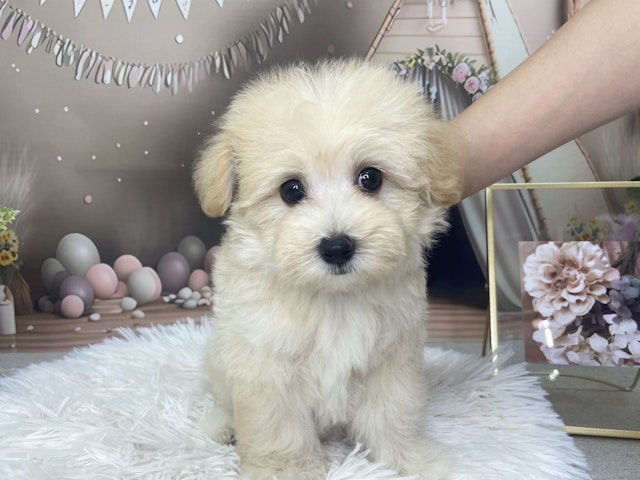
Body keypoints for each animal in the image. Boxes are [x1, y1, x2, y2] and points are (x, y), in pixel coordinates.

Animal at [192, 58, 462, 478]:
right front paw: (285, 470)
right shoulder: (266, 364)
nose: (337, 247)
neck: (333, 297)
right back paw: (222, 427)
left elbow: (392, 414)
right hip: (220, 360)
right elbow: (278, 428)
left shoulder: (391, 361)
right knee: (222, 400)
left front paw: (409, 458)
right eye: (291, 190)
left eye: (370, 178)